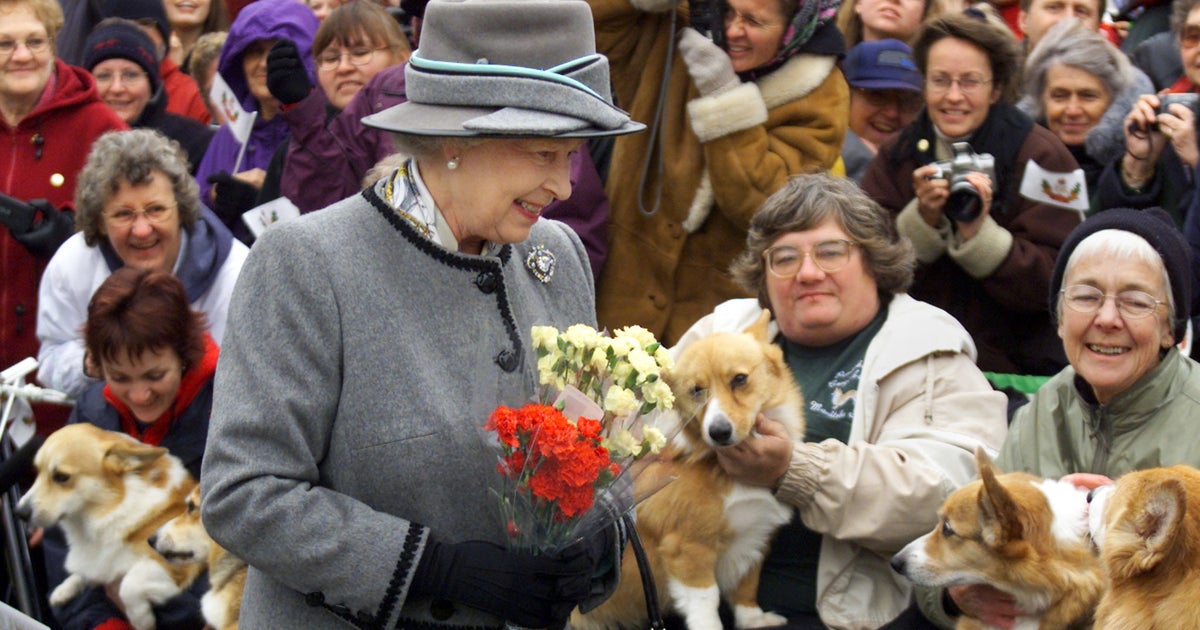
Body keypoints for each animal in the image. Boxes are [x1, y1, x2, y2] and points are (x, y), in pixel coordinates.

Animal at [16, 422, 200, 628]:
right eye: (37, 471)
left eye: (61, 476)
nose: (19, 513)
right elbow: (85, 573)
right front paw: (65, 589)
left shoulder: (171, 566)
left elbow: (129, 585)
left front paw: (142, 620)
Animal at [573, 309, 806, 628]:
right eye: (696, 391)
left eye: (740, 379)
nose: (718, 432)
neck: (720, 464)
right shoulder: (689, 548)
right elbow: (707, 602)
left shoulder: (753, 539)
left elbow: (746, 586)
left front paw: (754, 619)